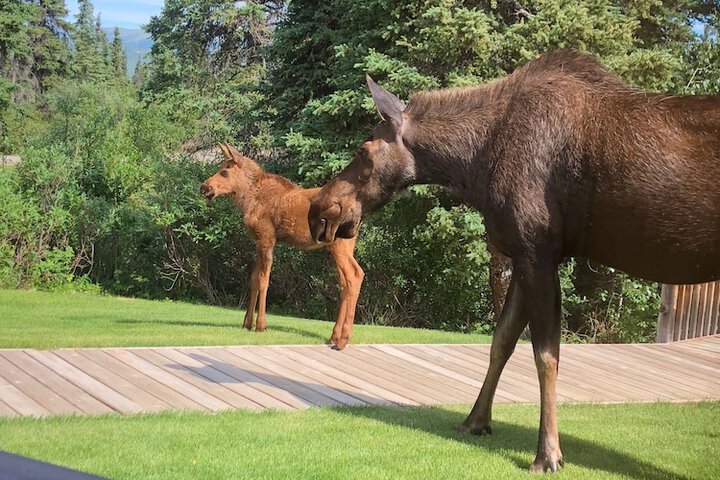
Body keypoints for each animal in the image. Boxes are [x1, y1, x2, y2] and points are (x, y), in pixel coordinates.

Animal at [200, 142, 362, 348]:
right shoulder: (257, 241)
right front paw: (246, 323)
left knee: (355, 275)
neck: (247, 199)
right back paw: (334, 336)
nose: (204, 188)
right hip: (344, 245)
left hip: (338, 246)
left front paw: (260, 325)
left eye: (225, 172)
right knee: (344, 283)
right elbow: (253, 279)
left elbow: (263, 280)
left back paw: (343, 339)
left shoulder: (267, 238)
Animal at [308, 49, 720, 472]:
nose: (319, 209)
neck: (474, 164)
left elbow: (546, 356)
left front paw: (548, 453)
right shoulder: (524, 254)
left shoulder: (539, 251)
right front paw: (475, 421)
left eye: (363, 151)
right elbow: (501, 340)